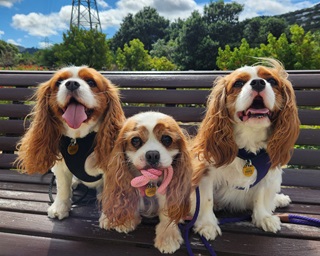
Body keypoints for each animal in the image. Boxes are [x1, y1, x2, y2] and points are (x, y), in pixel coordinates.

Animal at [15, 66, 125, 220]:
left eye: (91, 82)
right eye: (59, 82)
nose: (71, 83)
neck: (77, 138)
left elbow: (112, 192)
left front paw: (111, 218)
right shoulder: (60, 167)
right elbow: (63, 188)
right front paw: (60, 207)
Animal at [99, 112, 191, 254]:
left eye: (167, 139)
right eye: (135, 140)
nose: (152, 154)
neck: (149, 182)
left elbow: (167, 213)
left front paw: (168, 237)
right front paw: (126, 218)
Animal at [192, 58, 300, 240]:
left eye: (272, 81)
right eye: (238, 83)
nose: (258, 83)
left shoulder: (267, 173)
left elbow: (260, 195)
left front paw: (263, 217)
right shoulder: (205, 172)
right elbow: (206, 199)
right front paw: (207, 224)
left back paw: (279, 199)